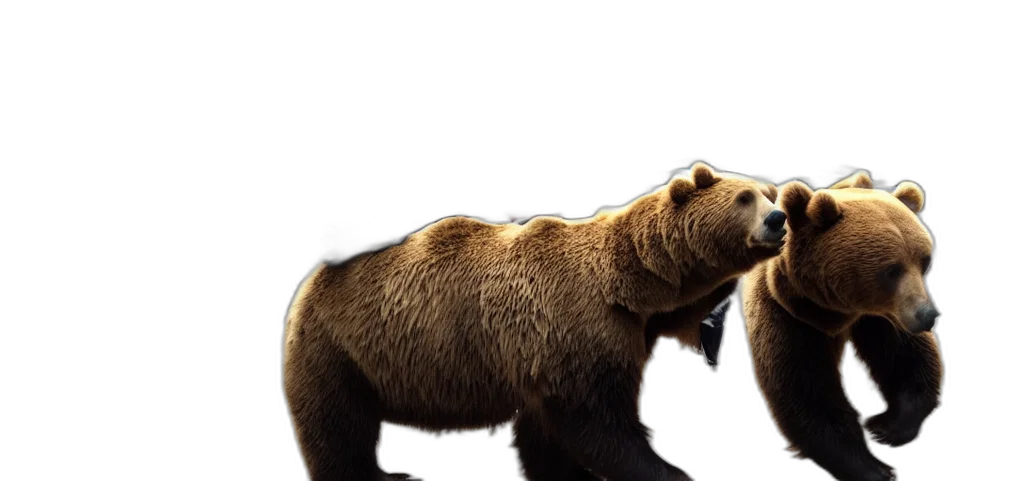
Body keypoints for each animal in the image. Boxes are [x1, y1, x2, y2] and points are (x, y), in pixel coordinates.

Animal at [282, 162, 787, 481]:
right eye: (744, 197)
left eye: (769, 194)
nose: (779, 219)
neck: (629, 285)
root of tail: (316, 274)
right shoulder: (577, 325)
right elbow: (599, 420)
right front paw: (669, 470)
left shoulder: (578, 346)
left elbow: (547, 432)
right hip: (338, 345)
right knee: (338, 424)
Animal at [738, 171, 943, 481]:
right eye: (891, 270)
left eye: (924, 261)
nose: (928, 315)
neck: (837, 312)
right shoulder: (788, 314)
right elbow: (807, 390)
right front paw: (874, 467)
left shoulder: (883, 315)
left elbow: (907, 358)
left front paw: (885, 428)